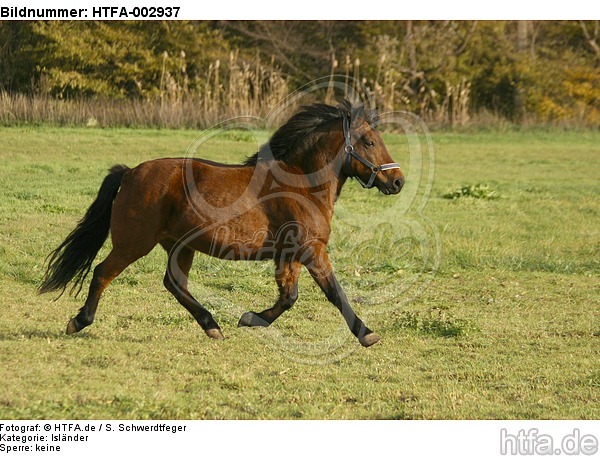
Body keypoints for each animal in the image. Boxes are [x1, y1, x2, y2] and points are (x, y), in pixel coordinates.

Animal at [39, 100, 406, 348]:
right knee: (103, 272)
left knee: (174, 284)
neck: (302, 184)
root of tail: (130, 172)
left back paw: (212, 325)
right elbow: (334, 293)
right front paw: (367, 334)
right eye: (370, 142)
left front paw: (250, 318)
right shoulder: (312, 251)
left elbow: (289, 297)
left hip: (180, 246)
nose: (398, 181)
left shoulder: (289, 255)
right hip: (134, 243)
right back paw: (79, 321)